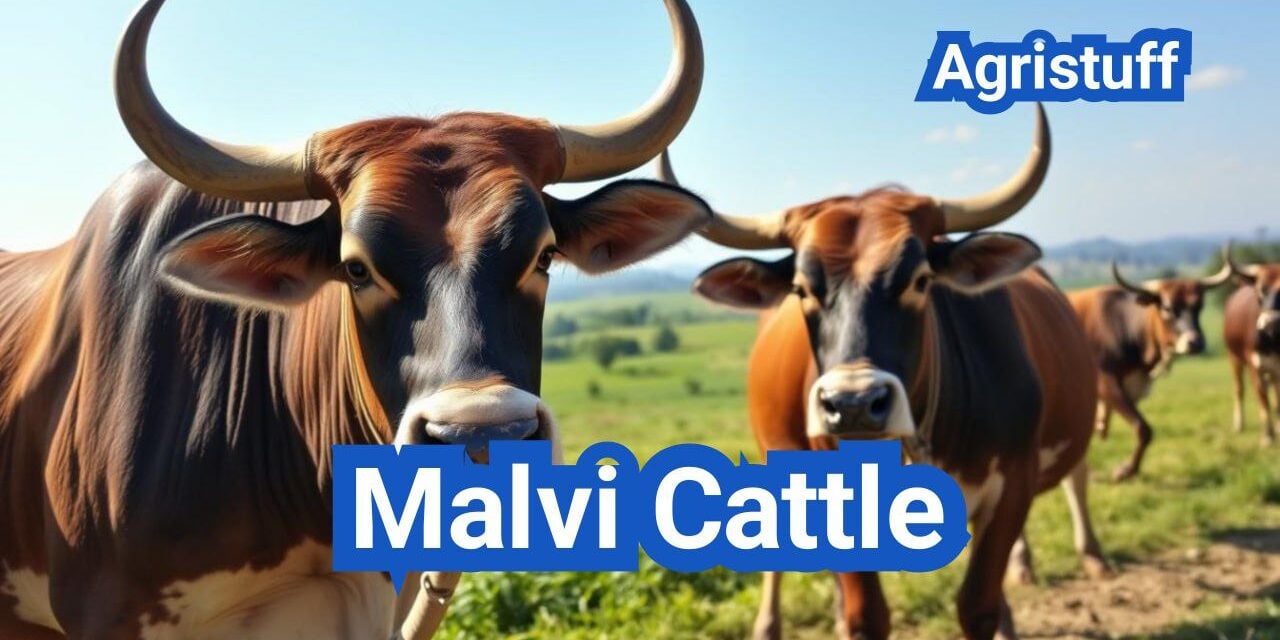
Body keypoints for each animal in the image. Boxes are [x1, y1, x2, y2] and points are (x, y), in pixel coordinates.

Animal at [658, 105, 1107, 640]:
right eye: (801, 288)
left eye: (920, 279)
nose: (852, 405)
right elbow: (866, 613)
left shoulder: (1012, 488)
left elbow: (978, 603)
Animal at [1067, 260, 1232, 480]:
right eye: (1168, 308)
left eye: (1199, 306)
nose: (1195, 342)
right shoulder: (1105, 383)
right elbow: (1142, 428)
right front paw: (1126, 470)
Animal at [1224, 250, 1280, 445]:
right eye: (1261, 289)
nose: (1270, 323)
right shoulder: (1255, 367)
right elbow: (1263, 402)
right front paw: (1267, 437)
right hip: (1234, 358)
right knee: (1239, 389)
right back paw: (1239, 424)